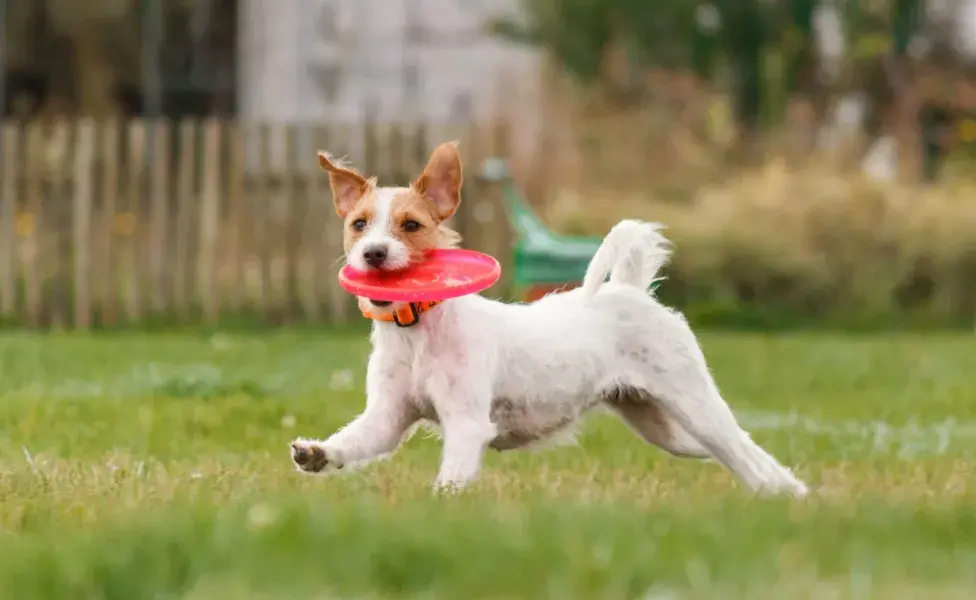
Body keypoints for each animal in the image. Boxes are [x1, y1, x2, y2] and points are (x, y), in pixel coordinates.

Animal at [290, 141, 808, 496]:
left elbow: (453, 476)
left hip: (693, 401)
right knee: (730, 452)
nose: (373, 253)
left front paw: (439, 503)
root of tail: (631, 288)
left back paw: (789, 495)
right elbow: (355, 440)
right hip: (661, 425)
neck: (417, 331)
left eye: (411, 225)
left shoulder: (467, 423)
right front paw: (318, 453)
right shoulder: (387, 417)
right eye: (358, 224)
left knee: (744, 450)